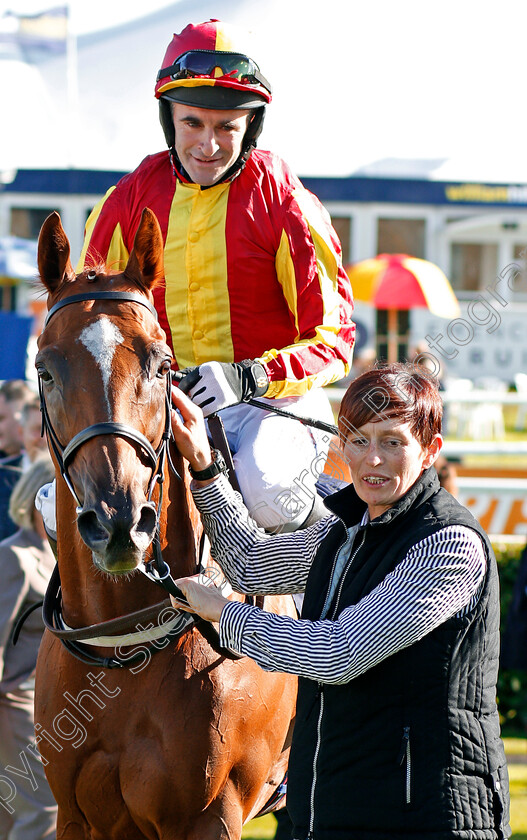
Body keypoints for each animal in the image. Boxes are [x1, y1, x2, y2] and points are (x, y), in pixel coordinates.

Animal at [34, 210, 296, 840]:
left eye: (160, 364)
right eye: (45, 370)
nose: (119, 520)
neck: (127, 644)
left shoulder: (210, 816)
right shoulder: (75, 817)